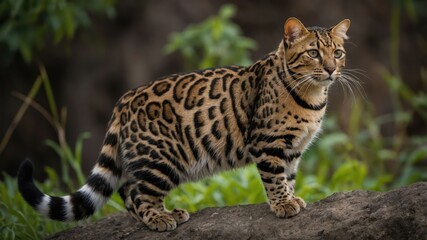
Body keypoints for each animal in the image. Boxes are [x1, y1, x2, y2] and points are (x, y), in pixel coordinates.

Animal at [16, 17, 352, 232]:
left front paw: (292, 198)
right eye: (313, 53)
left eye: (337, 52)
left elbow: (289, 176)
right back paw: (160, 219)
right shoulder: (267, 142)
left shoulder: (293, 148)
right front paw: (282, 205)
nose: (331, 69)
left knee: (126, 190)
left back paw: (163, 214)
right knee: (137, 193)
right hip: (161, 159)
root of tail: (122, 101)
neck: (312, 95)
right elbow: (274, 177)